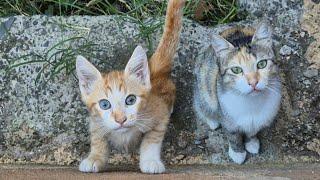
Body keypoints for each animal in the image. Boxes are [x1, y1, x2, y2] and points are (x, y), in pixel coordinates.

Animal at [75, 0, 185, 174]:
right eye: (104, 104)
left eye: (131, 100)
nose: (121, 120)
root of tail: (153, 68)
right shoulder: (95, 121)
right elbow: (98, 139)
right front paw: (95, 157)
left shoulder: (159, 117)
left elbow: (152, 139)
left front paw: (150, 161)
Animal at [192, 21, 280, 164]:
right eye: (236, 70)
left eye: (262, 64)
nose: (253, 82)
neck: (251, 102)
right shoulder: (227, 116)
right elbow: (233, 135)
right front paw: (238, 153)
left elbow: (252, 131)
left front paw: (252, 143)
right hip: (204, 84)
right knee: (201, 103)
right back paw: (212, 121)